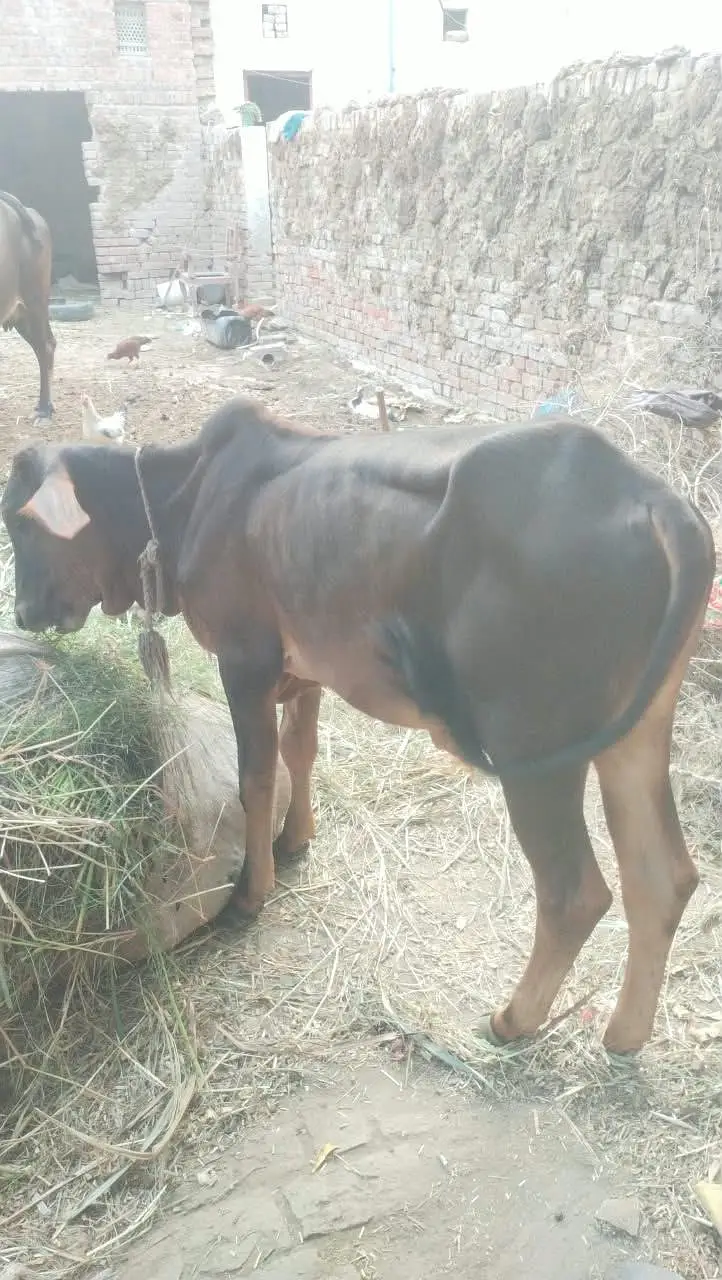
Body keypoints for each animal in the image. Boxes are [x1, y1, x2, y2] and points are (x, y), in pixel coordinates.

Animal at [2, 398, 715, 1057]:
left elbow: (257, 777)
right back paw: (624, 1035)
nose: (26, 611)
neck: (186, 500)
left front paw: (251, 893)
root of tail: (655, 500)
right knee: (663, 878)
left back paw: (512, 1020)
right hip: (636, 737)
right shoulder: (305, 667)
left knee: (574, 894)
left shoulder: (245, 659)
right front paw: (296, 840)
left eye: (21, 522)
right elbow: (301, 751)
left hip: (534, 749)